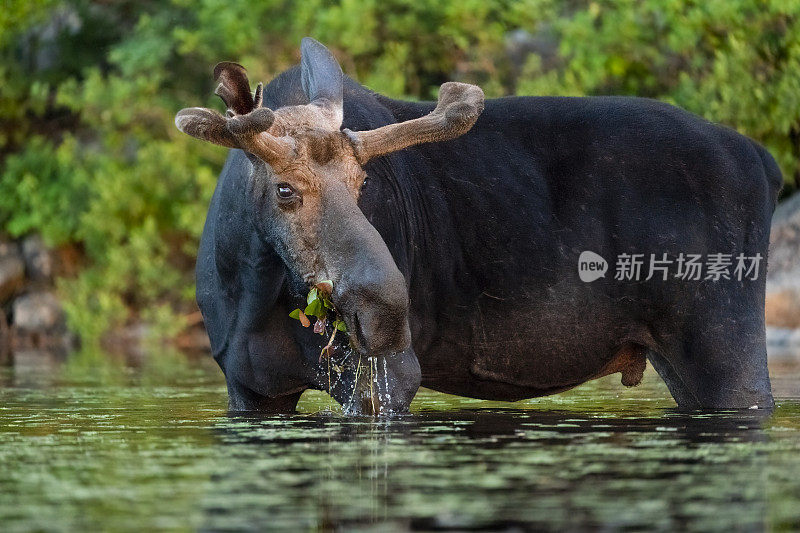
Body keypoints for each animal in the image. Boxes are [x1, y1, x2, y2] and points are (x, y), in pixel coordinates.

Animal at [177, 37, 780, 414]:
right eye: (285, 190)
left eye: (362, 183)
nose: (386, 315)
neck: (252, 289)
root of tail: (765, 163)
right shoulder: (249, 389)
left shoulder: (388, 379)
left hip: (724, 343)